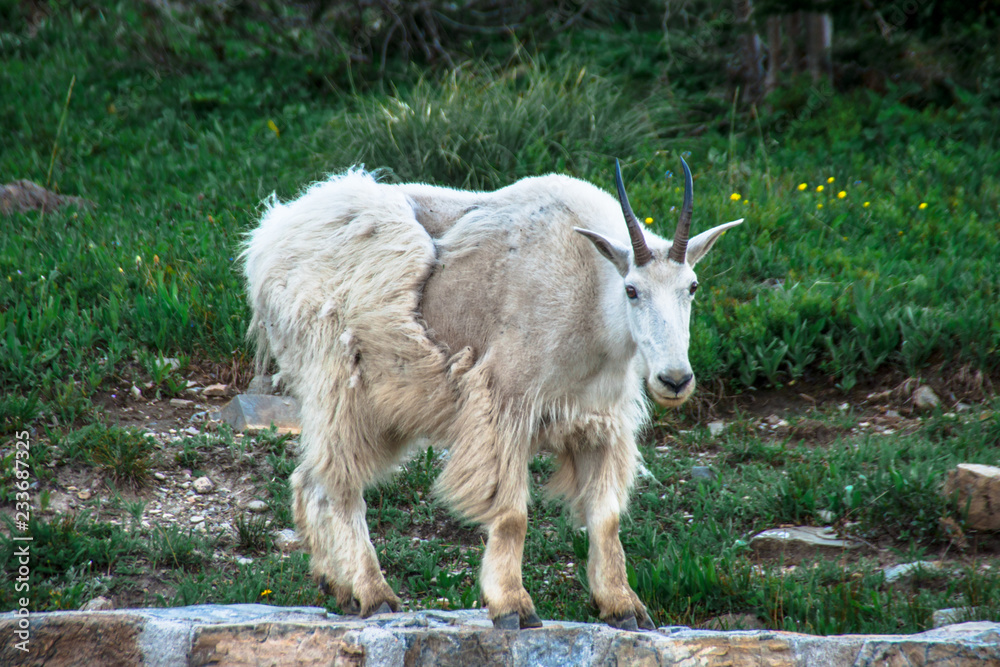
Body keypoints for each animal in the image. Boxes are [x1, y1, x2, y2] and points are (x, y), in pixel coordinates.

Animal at [243, 159, 741, 630]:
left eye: (692, 287)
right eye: (632, 290)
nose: (674, 380)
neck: (592, 300)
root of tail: (265, 242)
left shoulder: (600, 422)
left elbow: (605, 519)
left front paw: (623, 607)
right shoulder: (503, 404)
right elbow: (512, 513)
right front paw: (512, 606)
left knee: (309, 480)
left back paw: (337, 586)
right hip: (340, 387)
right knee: (339, 487)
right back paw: (374, 593)